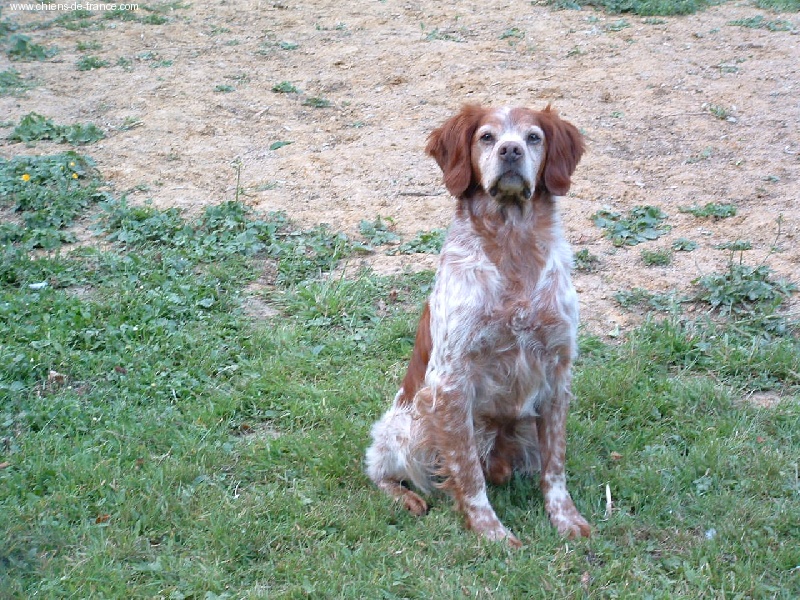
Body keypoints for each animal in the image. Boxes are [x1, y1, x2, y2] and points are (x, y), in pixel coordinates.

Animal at [366, 104, 592, 548]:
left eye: (534, 137)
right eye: (486, 137)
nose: (510, 150)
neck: (512, 244)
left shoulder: (557, 372)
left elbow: (555, 467)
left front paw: (566, 518)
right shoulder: (450, 383)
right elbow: (469, 474)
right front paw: (492, 532)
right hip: (408, 426)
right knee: (378, 469)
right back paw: (406, 498)